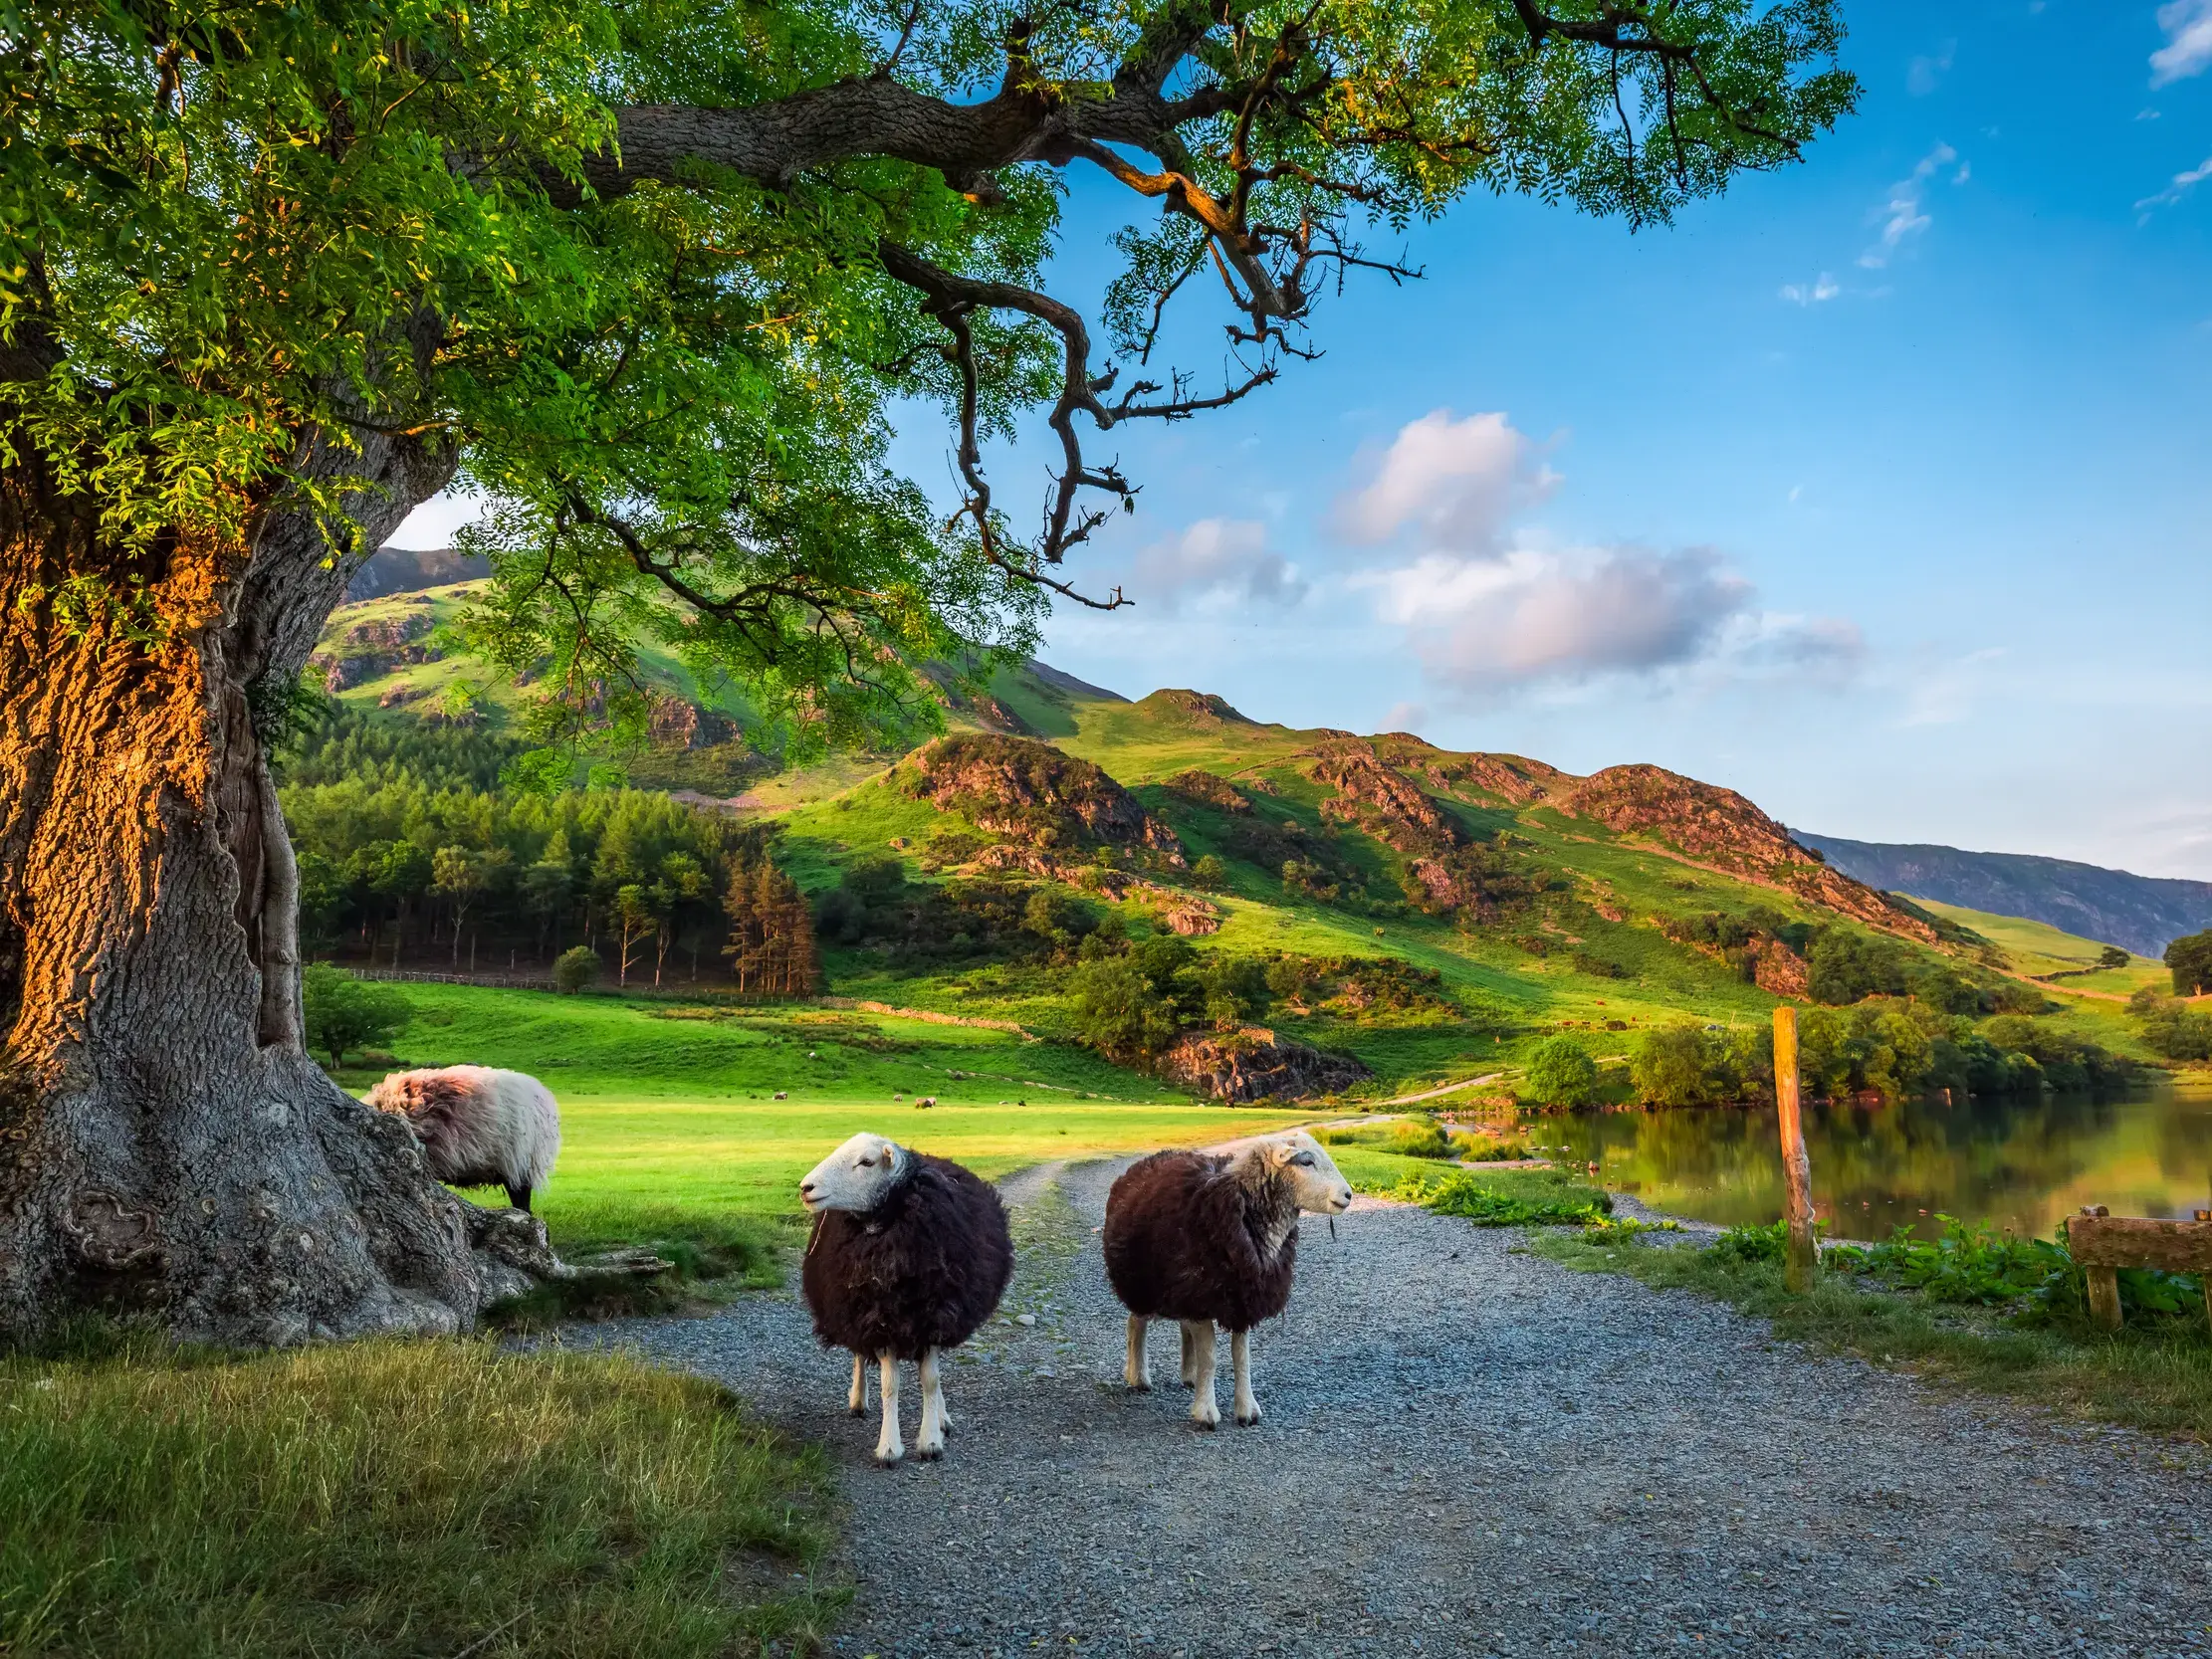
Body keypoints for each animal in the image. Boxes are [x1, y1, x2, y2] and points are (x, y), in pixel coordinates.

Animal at [798, 1132, 1014, 1465]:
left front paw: (930, 1441)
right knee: (859, 1354)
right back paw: (858, 1400)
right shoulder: (878, 1319)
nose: (805, 1188)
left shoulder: (937, 1316)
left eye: (867, 1162)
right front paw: (889, 1446)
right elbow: (890, 1386)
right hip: (853, 1311)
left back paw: (942, 1418)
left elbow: (931, 1380)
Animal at [1101, 1128, 1351, 1430]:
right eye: (1306, 1162)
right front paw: (1206, 1412)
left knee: (1183, 1328)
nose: (1348, 1195)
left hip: (1184, 1288)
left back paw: (1189, 1374)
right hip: (1144, 1282)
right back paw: (1138, 1377)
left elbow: (1241, 1357)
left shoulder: (1241, 1297)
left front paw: (1247, 1410)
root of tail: (1151, 1158)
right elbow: (1210, 1357)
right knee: (1136, 1324)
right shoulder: (1205, 1293)